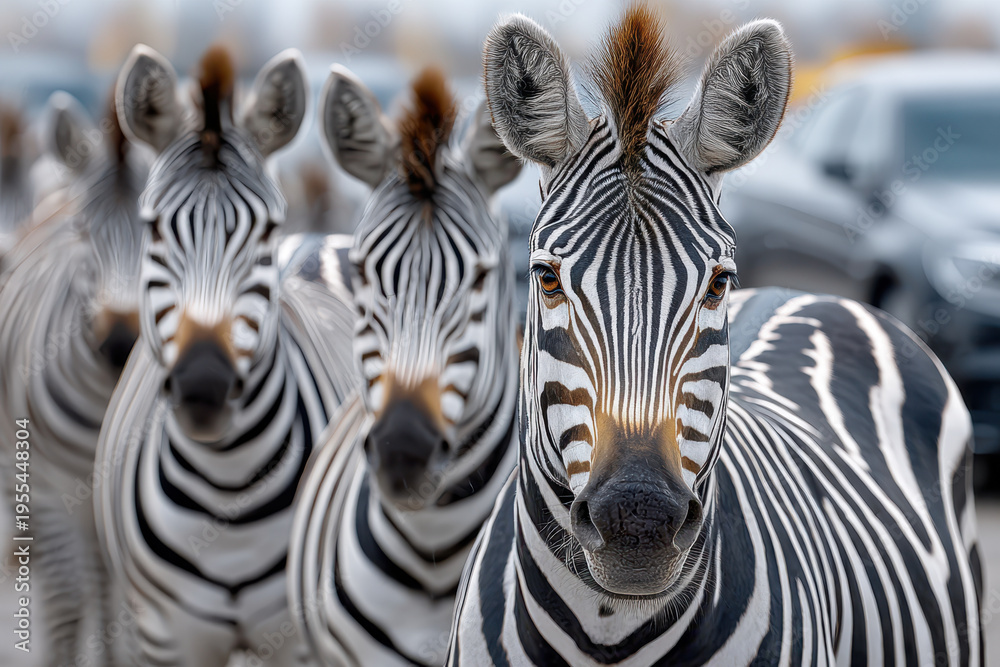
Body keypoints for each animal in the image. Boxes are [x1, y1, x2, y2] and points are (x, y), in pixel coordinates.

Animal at [93, 45, 357, 666]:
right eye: (153, 228)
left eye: (266, 231)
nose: (204, 387)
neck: (227, 495)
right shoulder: (166, 637)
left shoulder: (295, 640)